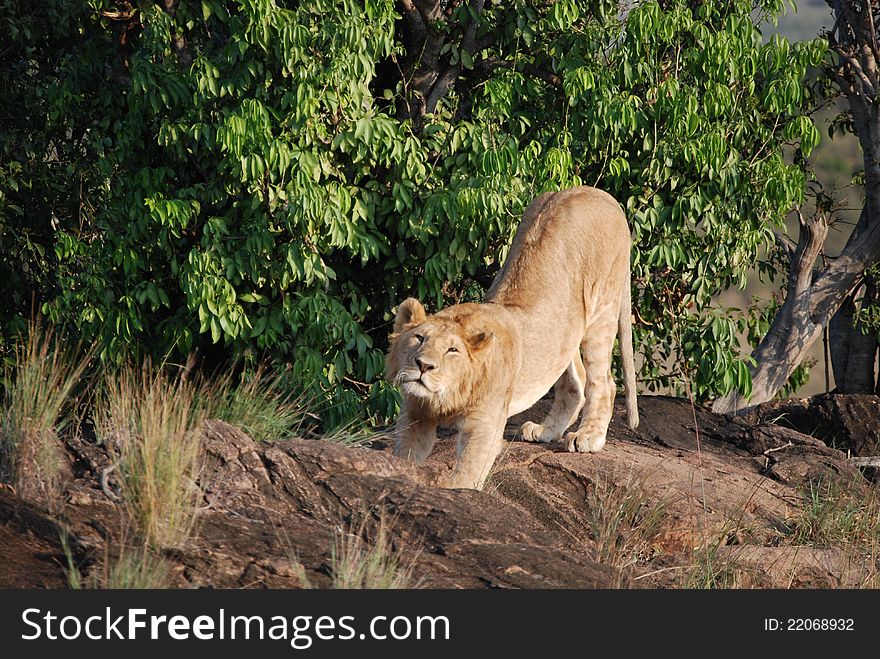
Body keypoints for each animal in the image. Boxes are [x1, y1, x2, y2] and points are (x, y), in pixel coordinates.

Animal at [384, 186, 640, 490]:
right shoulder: (415, 414)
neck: (446, 395)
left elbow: (466, 475)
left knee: (603, 382)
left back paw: (588, 436)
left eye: (452, 350)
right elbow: (406, 456)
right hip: (562, 333)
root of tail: (600, 194)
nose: (423, 366)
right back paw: (545, 430)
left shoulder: (484, 425)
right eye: (419, 338)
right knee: (573, 382)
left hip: (603, 307)